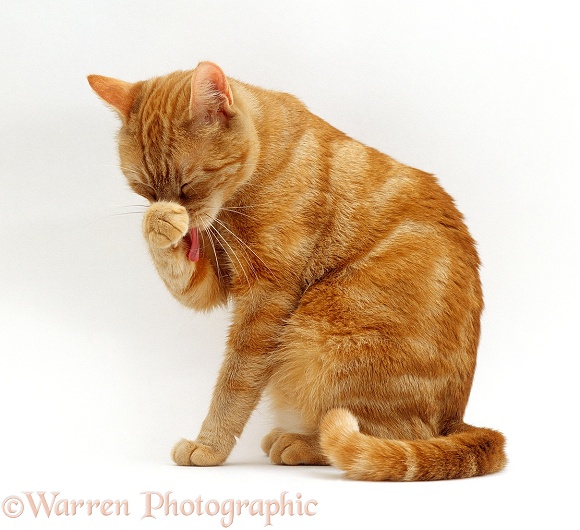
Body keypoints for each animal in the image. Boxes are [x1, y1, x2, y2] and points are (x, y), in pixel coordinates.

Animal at [87, 60, 508, 478]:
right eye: (145, 190)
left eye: (189, 185)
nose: (175, 211)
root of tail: (454, 419)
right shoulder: (209, 282)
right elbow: (177, 268)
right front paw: (159, 224)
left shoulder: (267, 299)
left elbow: (234, 384)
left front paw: (209, 446)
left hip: (321, 327)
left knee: (387, 436)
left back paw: (301, 443)